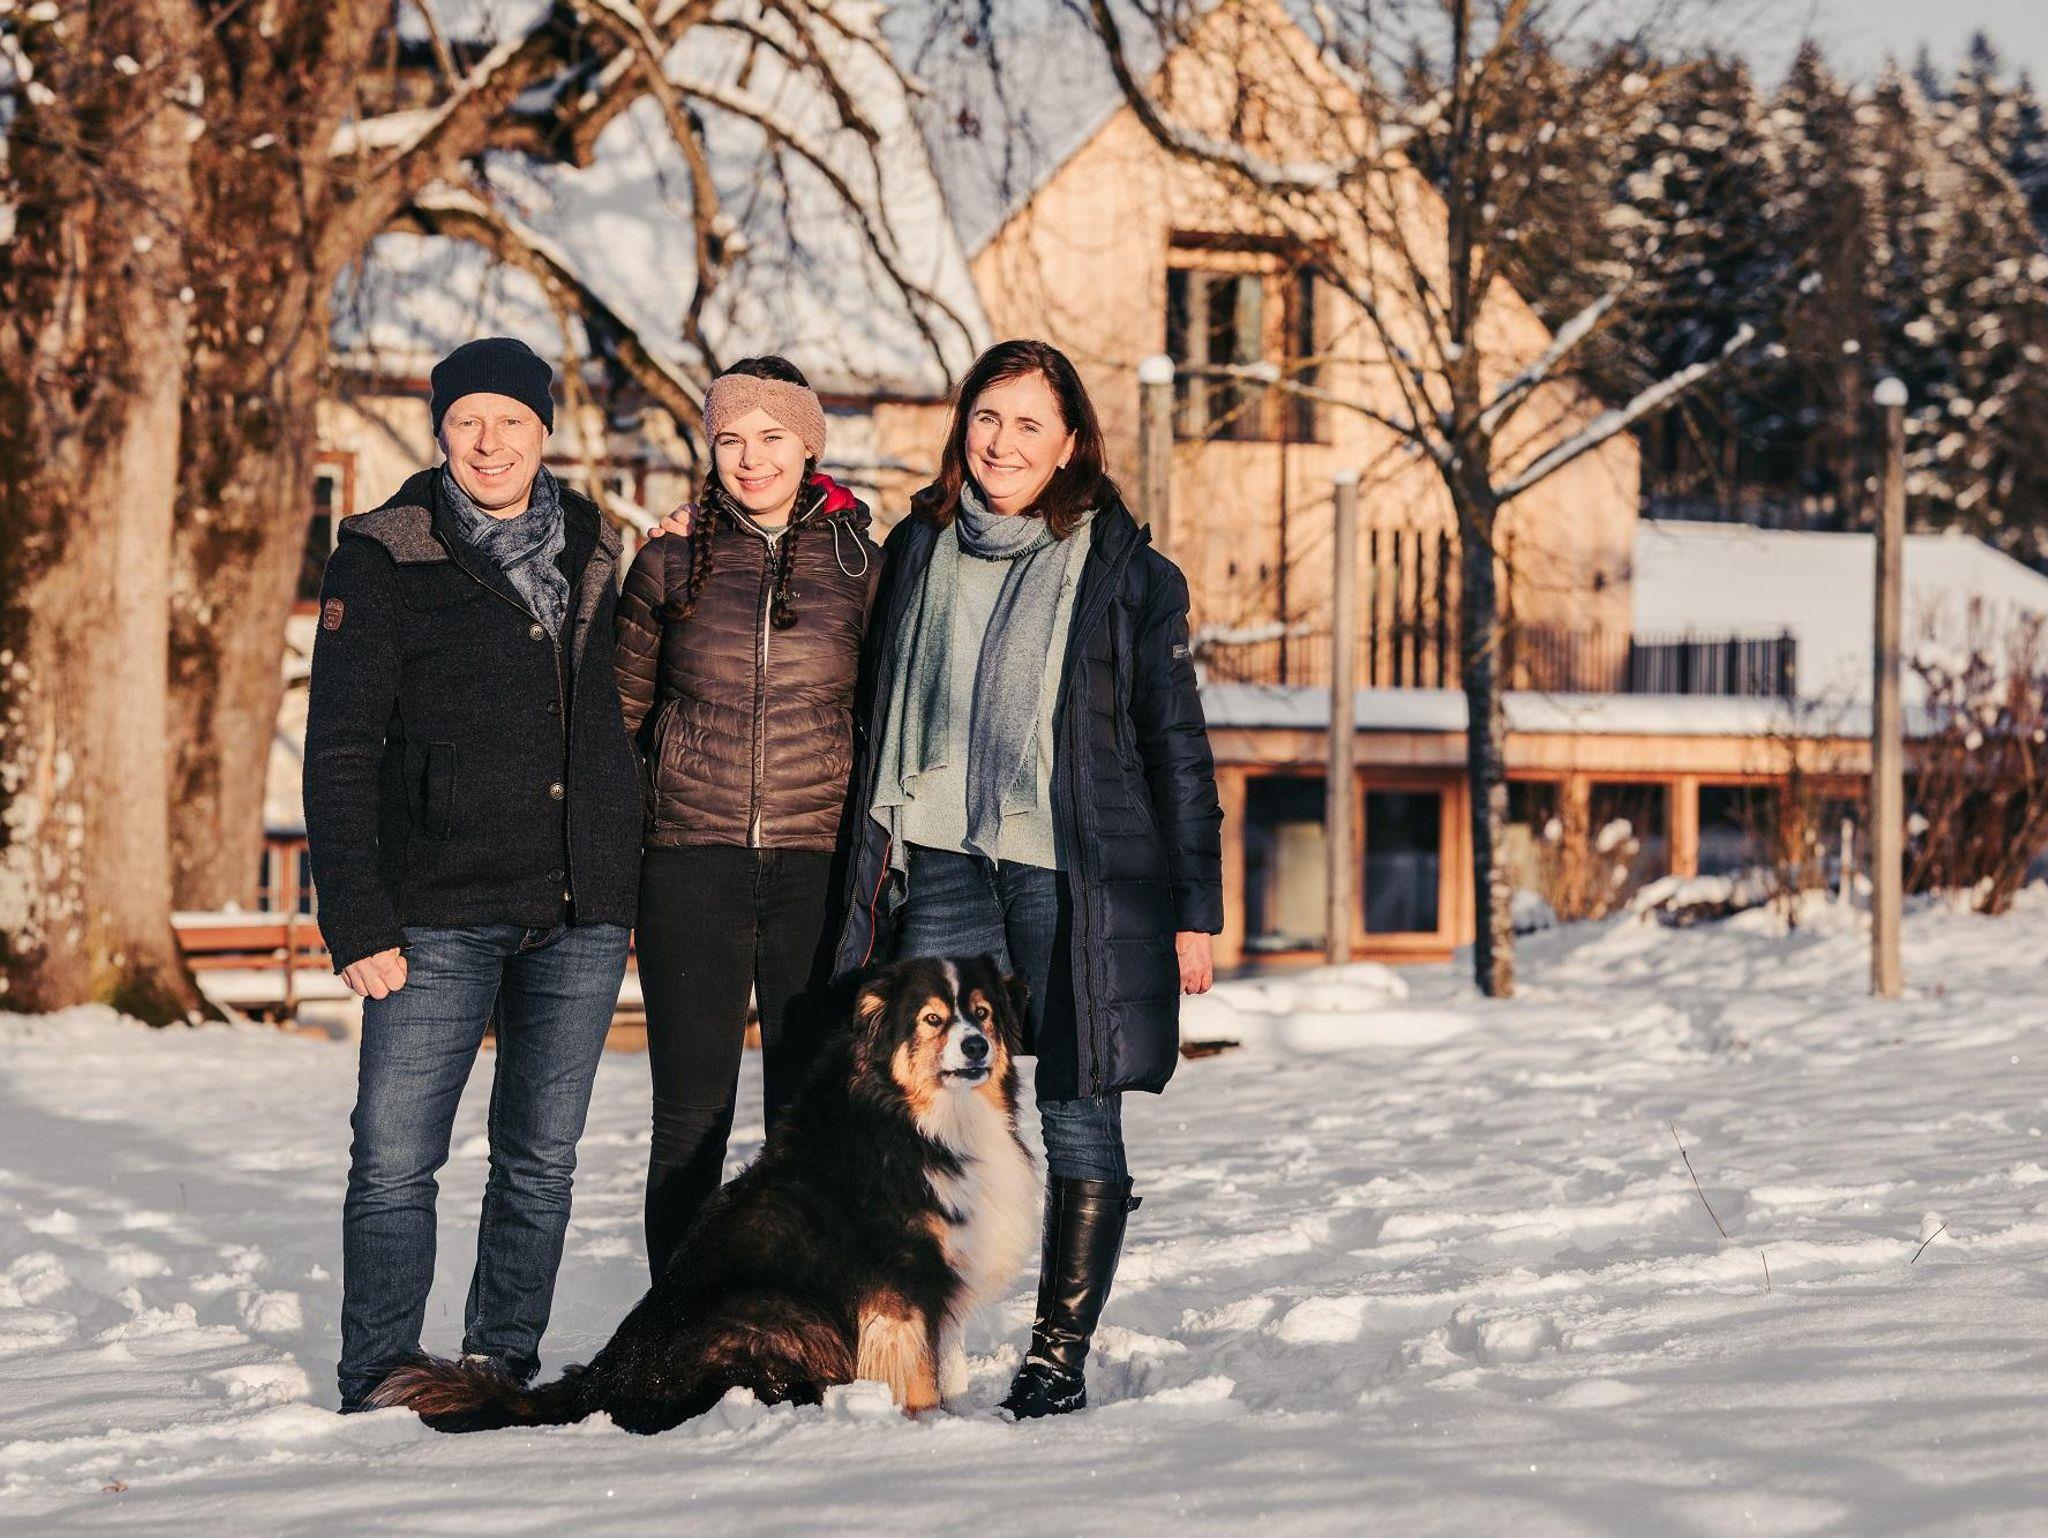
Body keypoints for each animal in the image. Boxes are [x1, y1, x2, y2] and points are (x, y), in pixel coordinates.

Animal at [368, 955, 1041, 1433]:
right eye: (932, 1018)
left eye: (982, 1013)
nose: (976, 1046)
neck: (923, 1119)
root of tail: (598, 1384)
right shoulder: (899, 1283)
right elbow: (921, 1375)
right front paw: (928, 1429)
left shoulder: (941, 1273)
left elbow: (946, 1365)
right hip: (779, 1311)